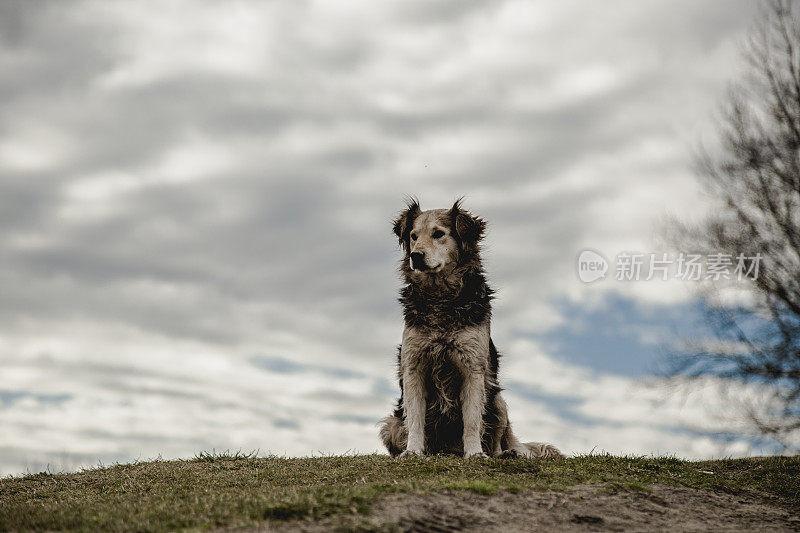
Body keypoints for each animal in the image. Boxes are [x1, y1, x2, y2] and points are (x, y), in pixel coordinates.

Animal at [382, 200, 564, 458]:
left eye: (438, 234)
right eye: (413, 236)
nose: (415, 256)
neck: (441, 300)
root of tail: (449, 450)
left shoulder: (473, 367)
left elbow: (472, 420)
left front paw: (475, 453)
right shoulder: (414, 366)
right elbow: (415, 418)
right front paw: (413, 451)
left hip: (498, 400)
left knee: (498, 438)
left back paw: (503, 453)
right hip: (391, 425)